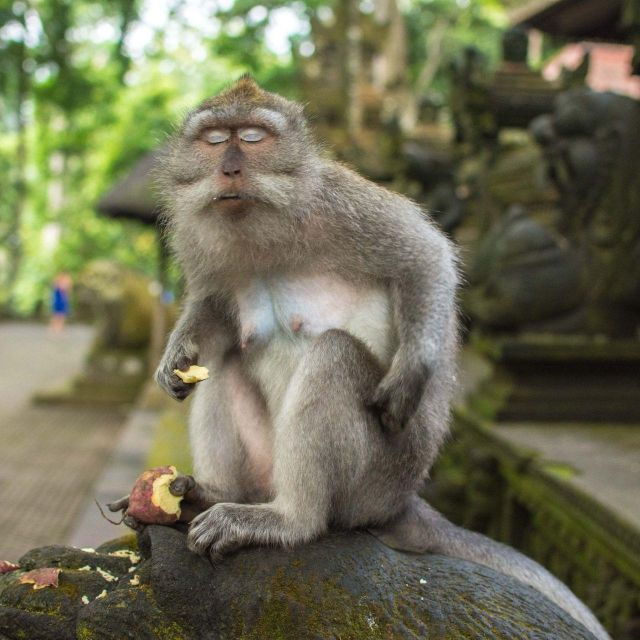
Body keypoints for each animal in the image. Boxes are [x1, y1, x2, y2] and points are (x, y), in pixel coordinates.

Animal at [151, 76, 609, 640]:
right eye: (215, 140)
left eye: (254, 137)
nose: (230, 168)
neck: (261, 228)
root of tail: (402, 500)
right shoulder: (203, 242)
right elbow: (213, 309)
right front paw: (176, 355)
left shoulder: (340, 203)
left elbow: (425, 259)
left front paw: (411, 374)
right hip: (269, 472)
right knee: (227, 367)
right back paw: (213, 492)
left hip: (375, 480)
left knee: (334, 355)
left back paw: (290, 520)